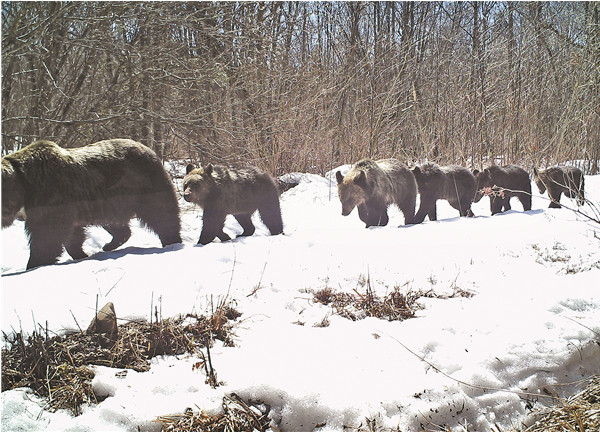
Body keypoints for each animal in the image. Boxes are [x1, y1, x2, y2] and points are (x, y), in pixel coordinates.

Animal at [1, 139, 182, 270]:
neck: (25, 185)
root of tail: (151, 151)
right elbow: (72, 236)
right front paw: (81, 254)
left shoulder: (50, 196)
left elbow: (47, 234)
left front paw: (34, 263)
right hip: (111, 202)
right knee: (116, 225)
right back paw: (109, 245)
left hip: (143, 185)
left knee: (162, 214)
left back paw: (171, 241)